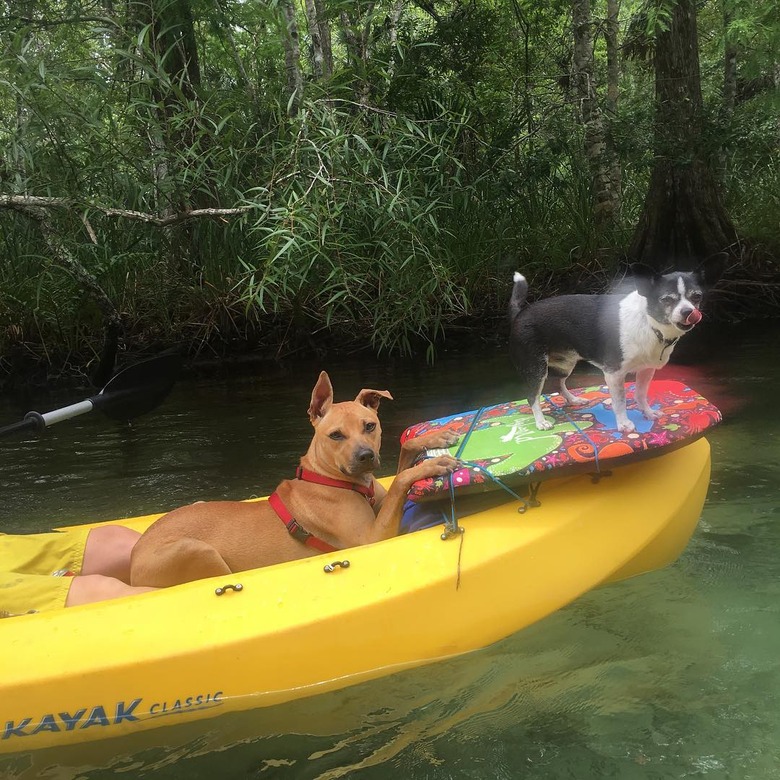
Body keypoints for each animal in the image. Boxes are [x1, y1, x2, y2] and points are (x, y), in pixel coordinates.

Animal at [127, 372, 458, 584]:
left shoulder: (382, 502)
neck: (329, 478)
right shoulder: (371, 538)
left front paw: (435, 437)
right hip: (196, 551)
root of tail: (134, 556)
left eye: (370, 426)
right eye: (335, 435)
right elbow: (402, 480)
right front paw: (434, 464)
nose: (365, 457)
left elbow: (403, 457)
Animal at [508, 260, 724, 432]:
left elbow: (640, 394)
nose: (688, 312)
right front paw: (624, 424)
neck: (648, 323)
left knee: (558, 382)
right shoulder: (614, 373)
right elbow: (620, 401)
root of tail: (521, 312)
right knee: (532, 396)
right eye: (667, 300)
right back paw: (540, 422)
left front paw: (647, 413)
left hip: (565, 364)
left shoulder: (646, 370)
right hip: (536, 368)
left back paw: (573, 400)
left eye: (696, 297)